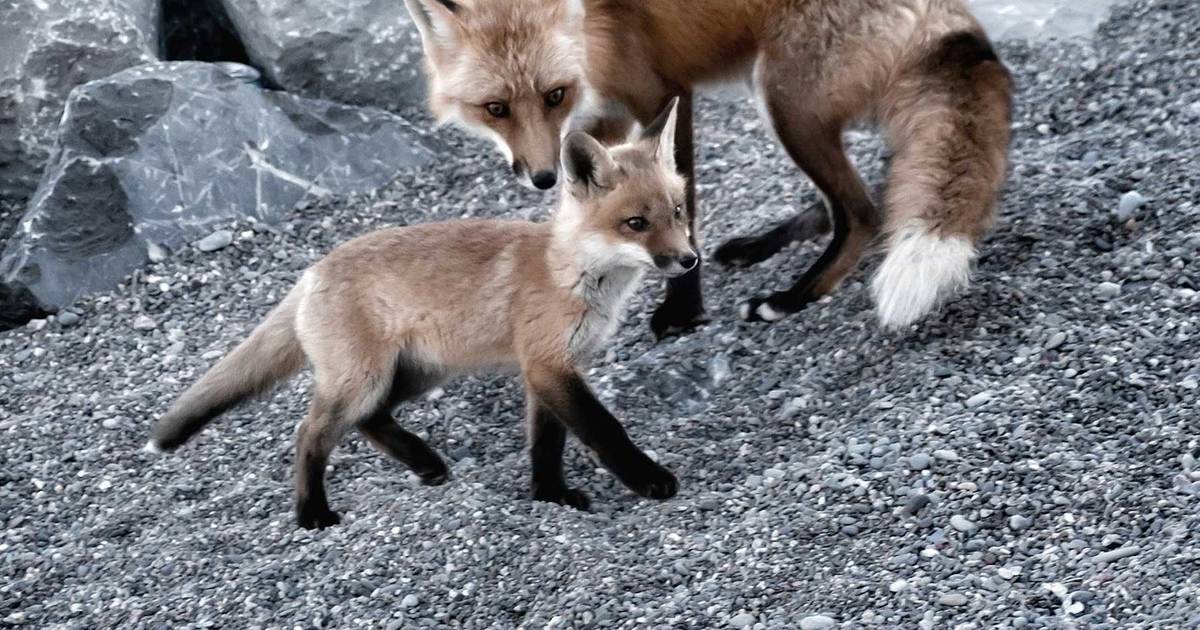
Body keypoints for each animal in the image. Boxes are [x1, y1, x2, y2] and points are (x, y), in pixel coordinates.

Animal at [145, 101, 691, 529]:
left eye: (678, 211)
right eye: (635, 223)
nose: (688, 260)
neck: (571, 275)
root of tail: (312, 271)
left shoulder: (547, 370)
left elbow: (546, 444)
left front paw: (550, 496)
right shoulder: (548, 364)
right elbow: (605, 430)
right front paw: (647, 479)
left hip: (414, 374)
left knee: (369, 420)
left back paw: (423, 463)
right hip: (364, 379)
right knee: (310, 434)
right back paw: (311, 514)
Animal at [402, 0, 1012, 336]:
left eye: (555, 94)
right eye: (495, 108)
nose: (541, 176)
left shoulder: (660, 94)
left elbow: (680, 203)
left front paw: (684, 310)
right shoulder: (598, 126)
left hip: (783, 101)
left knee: (860, 210)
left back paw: (794, 296)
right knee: (864, 195)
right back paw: (758, 246)